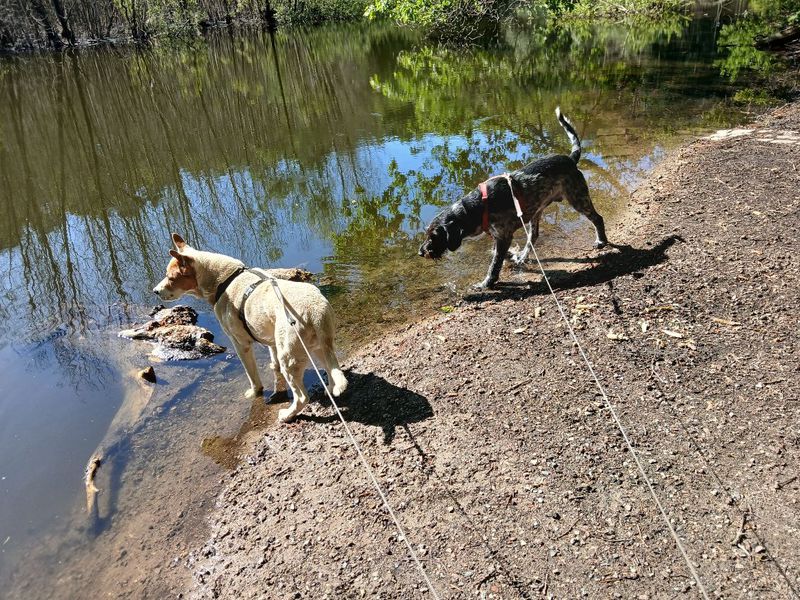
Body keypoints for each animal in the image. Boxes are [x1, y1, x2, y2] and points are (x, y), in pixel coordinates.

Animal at [153, 234, 347, 422]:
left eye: (171, 278)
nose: (155, 291)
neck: (224, 280)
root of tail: (315, 310)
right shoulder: (270, 336)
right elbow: (273, 356)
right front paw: (272, 366)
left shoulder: (240, 344)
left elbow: (252, 376)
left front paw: (254, 393)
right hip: (318, 347)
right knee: (330, 371)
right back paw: (329, 389)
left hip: (290, 357)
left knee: (302, 398)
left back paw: (287, 415)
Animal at [418, 108, 608, 288]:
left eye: (434, 236)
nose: (421, 252)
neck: (478, 206)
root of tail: (570, 159)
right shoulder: (498, 237)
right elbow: (499, 255)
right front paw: (511, 256)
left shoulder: (503, 237)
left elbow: (494, 265)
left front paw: (486, 283)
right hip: (535, 213)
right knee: (533, 236)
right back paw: (522, 256)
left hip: (578, 198)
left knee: (597, 218)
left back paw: (601, 241)